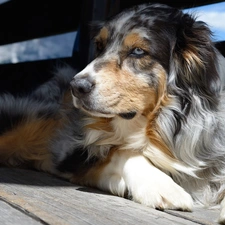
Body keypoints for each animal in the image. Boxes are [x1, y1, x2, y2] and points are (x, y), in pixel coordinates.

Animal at [0, 2, 225, 224]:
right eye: (99, 46)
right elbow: (121, 150)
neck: (160, 128)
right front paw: (160, 185)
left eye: (138, 51)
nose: (76, 87)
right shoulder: (73, 154)